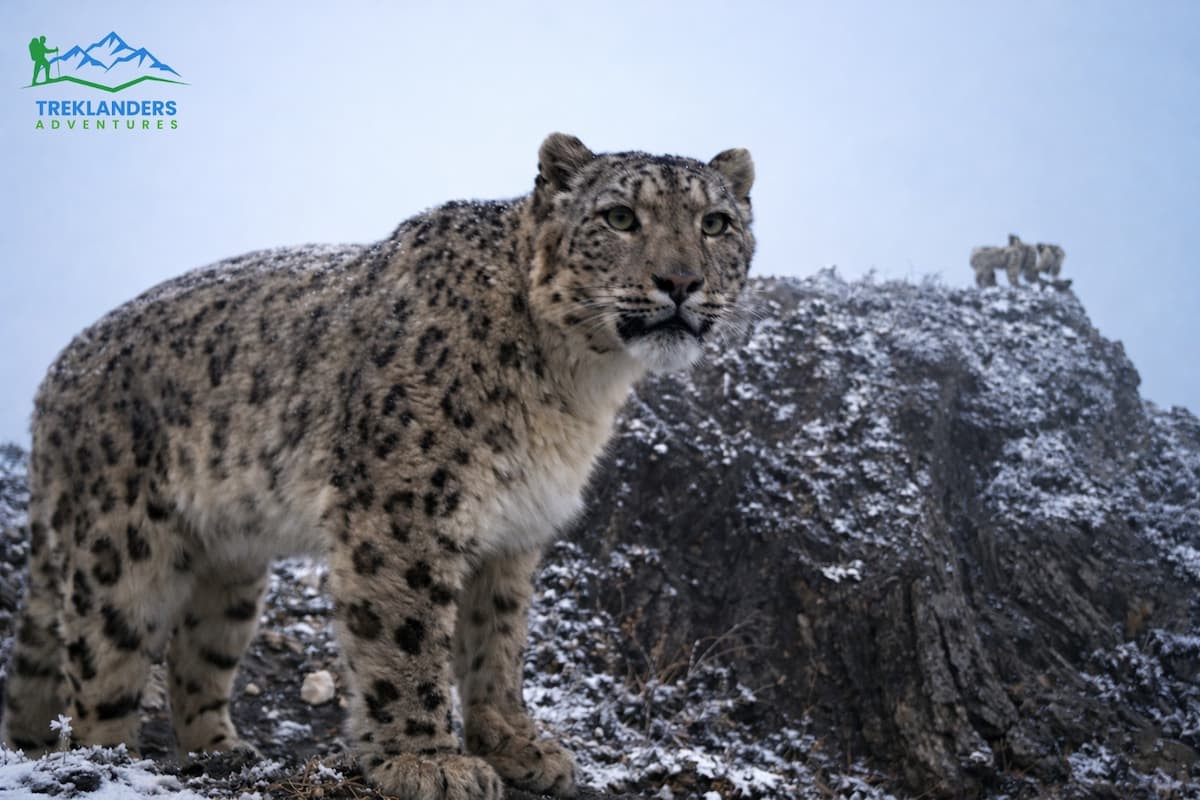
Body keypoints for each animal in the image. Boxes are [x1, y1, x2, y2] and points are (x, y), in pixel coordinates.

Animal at [2, 133, 755, 799]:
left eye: (716, 223)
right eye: (620, 217)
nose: (681, 281)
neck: (576, 388)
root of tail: (54, 382)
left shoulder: (513, 530)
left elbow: (497, 642)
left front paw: (517, 745)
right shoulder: (406, 508)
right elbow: (408, 634)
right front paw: (428, 762)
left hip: (232, 563)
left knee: (197, 654)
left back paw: (220, 750)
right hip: (119, 548)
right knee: (102, 667)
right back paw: (111, 760)